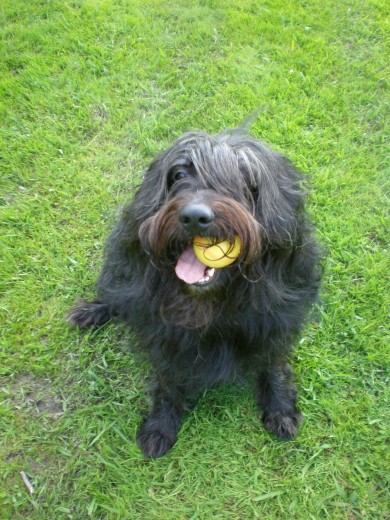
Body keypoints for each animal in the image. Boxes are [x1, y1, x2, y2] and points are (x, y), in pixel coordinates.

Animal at [67, 128, 322, 458]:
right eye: (178, 175)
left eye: (245, 179)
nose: (194, 217)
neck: (210, 304)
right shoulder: (164, 335)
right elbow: (168, 380)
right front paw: (160, 425)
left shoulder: (275, 323)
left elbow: (273, 365)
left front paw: (280, 409)